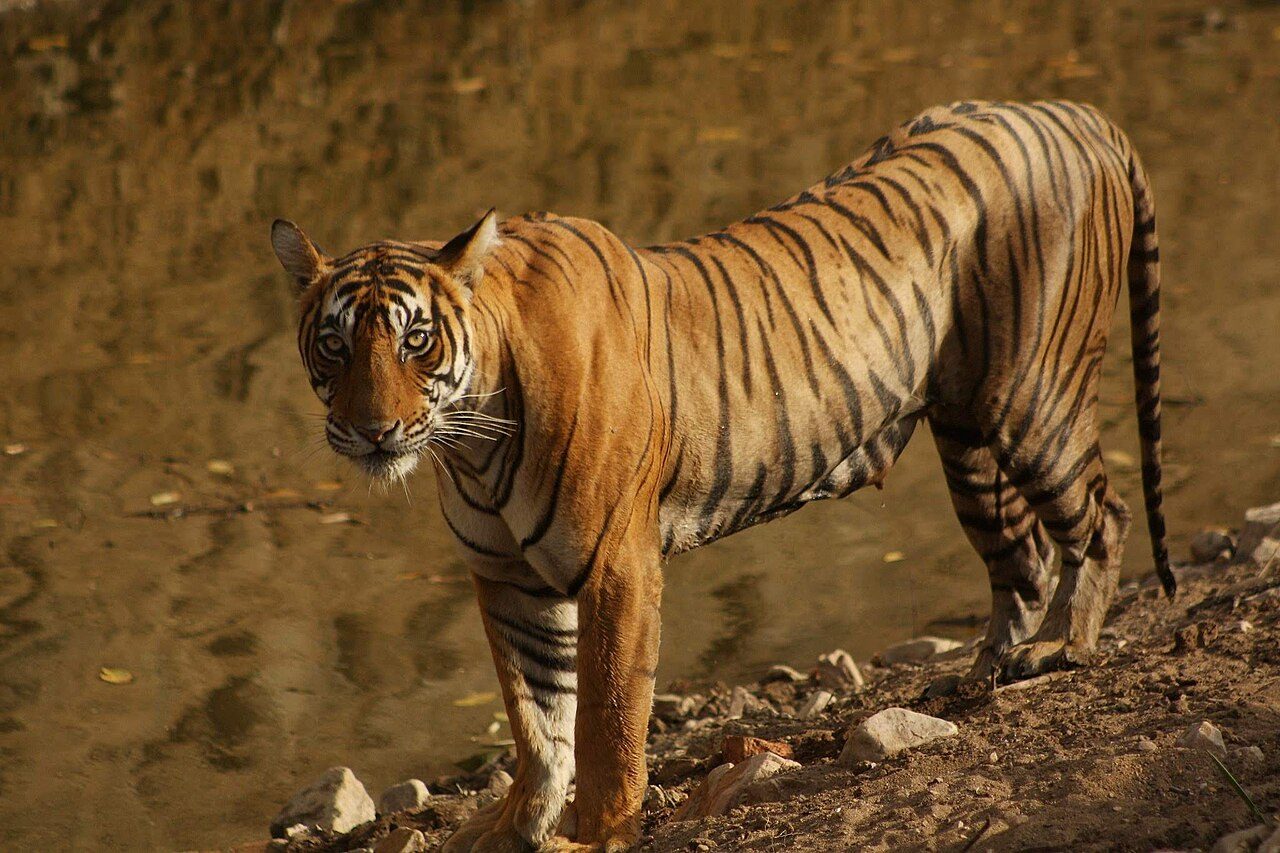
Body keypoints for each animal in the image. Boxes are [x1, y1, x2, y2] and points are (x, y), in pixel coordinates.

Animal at [270, 99, 1173, 852]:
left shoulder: (616, 566)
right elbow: (536, 721)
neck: (470, 438)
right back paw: (981, 674)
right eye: (336, 345)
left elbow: (606, 714)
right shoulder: (507, 578)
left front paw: (596, 832)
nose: (371, 430)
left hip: (1034, 398)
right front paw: (515, 826)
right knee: (1024, 557)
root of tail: (1075, 113)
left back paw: (1064, 646)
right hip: (967, 438)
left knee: (1103, 517)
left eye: (415, 340)